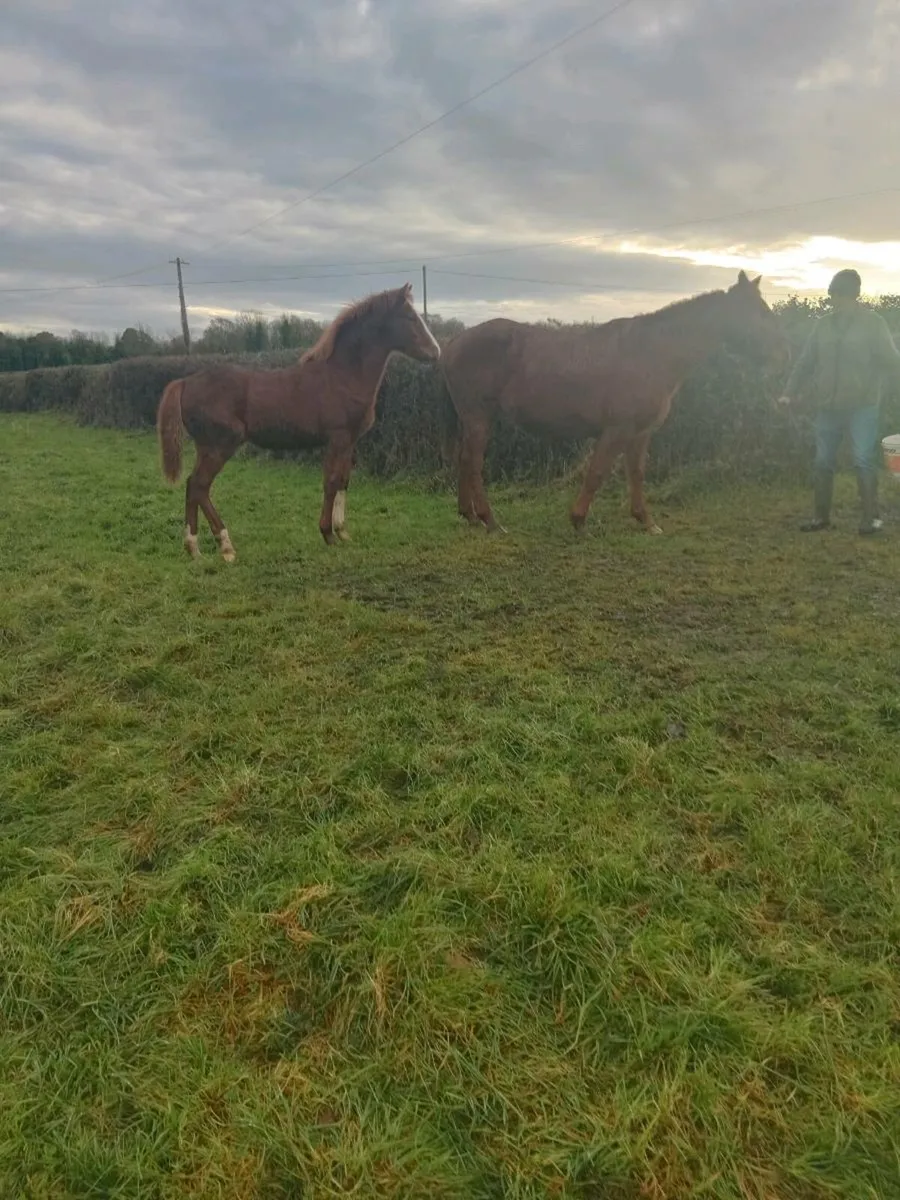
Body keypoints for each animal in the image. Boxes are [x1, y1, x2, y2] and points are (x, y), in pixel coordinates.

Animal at [156, 282, 441, 561]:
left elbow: (344, 481)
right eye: (410, 317)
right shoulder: (337, 439)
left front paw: (342, 531)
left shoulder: (349, 441)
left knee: (193, 486)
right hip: (220, 445)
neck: (341, 376)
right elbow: (331, 481)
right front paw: (328, 534)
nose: (435, 352)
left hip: (206, 447)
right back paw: (225, 547)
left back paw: (194, 547)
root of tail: (185, 382)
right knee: (200, 486)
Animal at [439, 271, 790, 535]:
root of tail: (454, 342)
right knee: (473, 462)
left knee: (464, 459)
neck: (650, 353)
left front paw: (645, 520)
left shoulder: (640, 432)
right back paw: (490, 520)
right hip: (479, 417)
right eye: (759, 313)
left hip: (470, 419)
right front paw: (579, 520)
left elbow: (636, 473)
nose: (781, 355)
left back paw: (469, 514)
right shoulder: (617, 430)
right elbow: (597, 472)